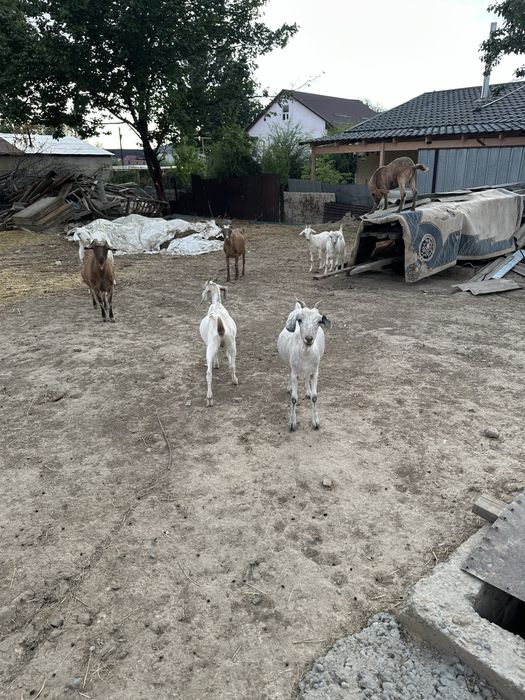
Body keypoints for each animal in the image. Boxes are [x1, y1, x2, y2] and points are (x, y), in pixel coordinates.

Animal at [277, 300, 331, 431]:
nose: (309, 338)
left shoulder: (315, 371)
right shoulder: (295, 373)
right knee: (289, 371)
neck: (305, 353)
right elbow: (294, 398)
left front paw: (316, 422)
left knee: (306, 377)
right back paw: (289, 387)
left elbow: (315, 397)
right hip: (289, 364)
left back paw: (308, 391)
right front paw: (292, 424)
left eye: (319, 321)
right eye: (299, 320)